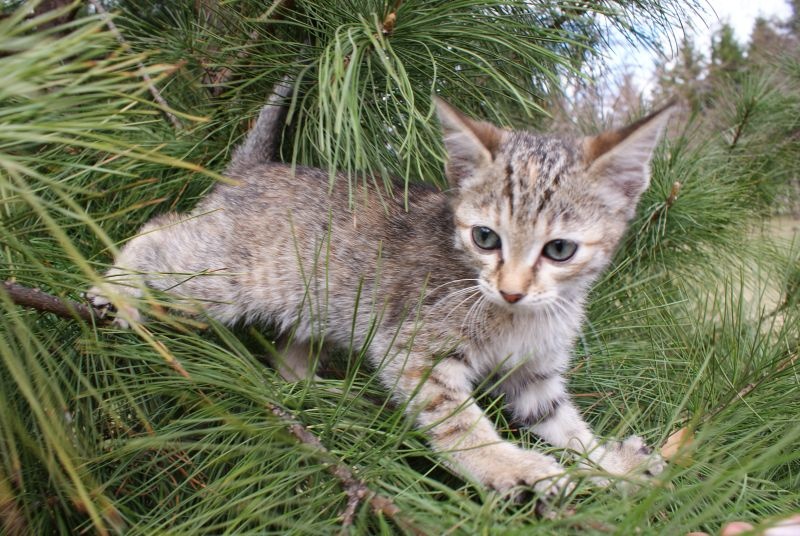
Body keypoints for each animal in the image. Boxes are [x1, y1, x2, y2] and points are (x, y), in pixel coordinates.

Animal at [87, 78, 671, 500]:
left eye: (560, 250)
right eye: (485, 237)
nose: (510, 291)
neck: (524, 317)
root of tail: (252, 171)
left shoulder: (534, 376)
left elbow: (565, 424)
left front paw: (610, 464)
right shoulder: (413, 349)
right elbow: (459, 423)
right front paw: (507, 464)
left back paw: (312, 394)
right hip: (220, 281)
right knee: (158, 229)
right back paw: (117, 290)